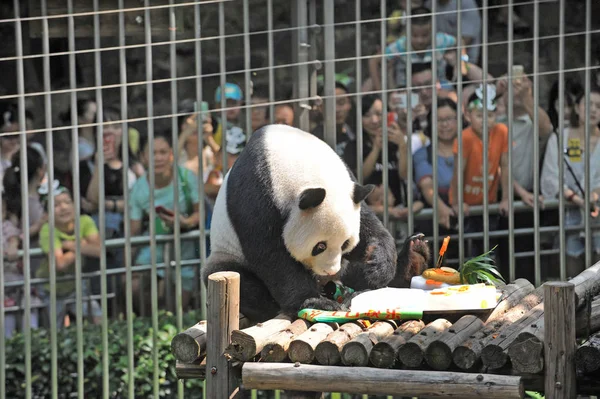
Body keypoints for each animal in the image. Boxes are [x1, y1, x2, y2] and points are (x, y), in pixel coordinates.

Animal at [202, 125, 404, 322]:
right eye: (320, 246)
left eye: (345, 244)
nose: (330, 271)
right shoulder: (254, 194)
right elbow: (271, 255)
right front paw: (315, 302)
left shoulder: (350, 185)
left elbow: (370, 227)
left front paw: (375, 266)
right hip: (226, 255)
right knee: (238, 280)